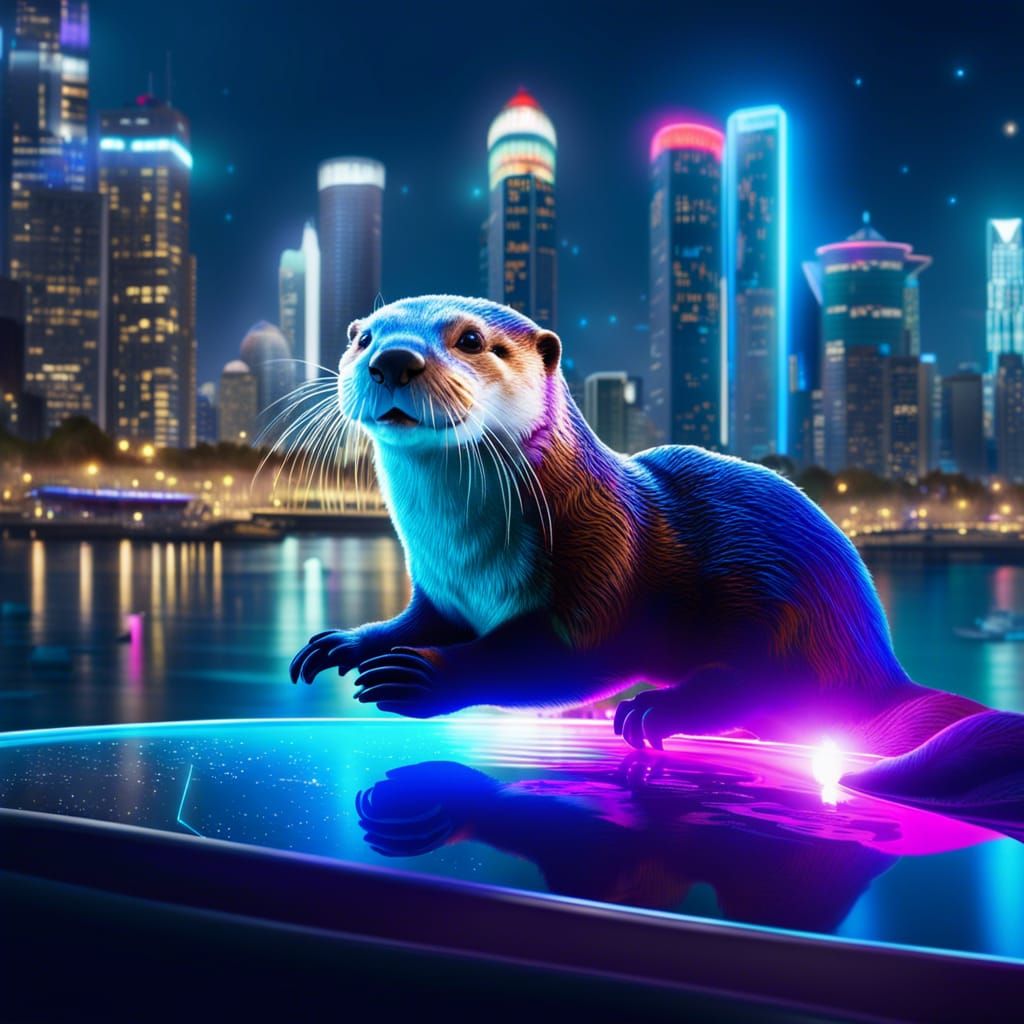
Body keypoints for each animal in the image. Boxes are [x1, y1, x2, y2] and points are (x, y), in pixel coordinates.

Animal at [289, 295, 987, 755]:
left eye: (469, 340)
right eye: (363, 336)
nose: (394, 359)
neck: (466, 555)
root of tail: (879, 663)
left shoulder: (603, 559)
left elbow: (549, 655)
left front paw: (422, 675)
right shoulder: (441, 590)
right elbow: (414, 622)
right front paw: (348, 642)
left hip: (782, 610)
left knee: (765, 689)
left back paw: (659, 708)